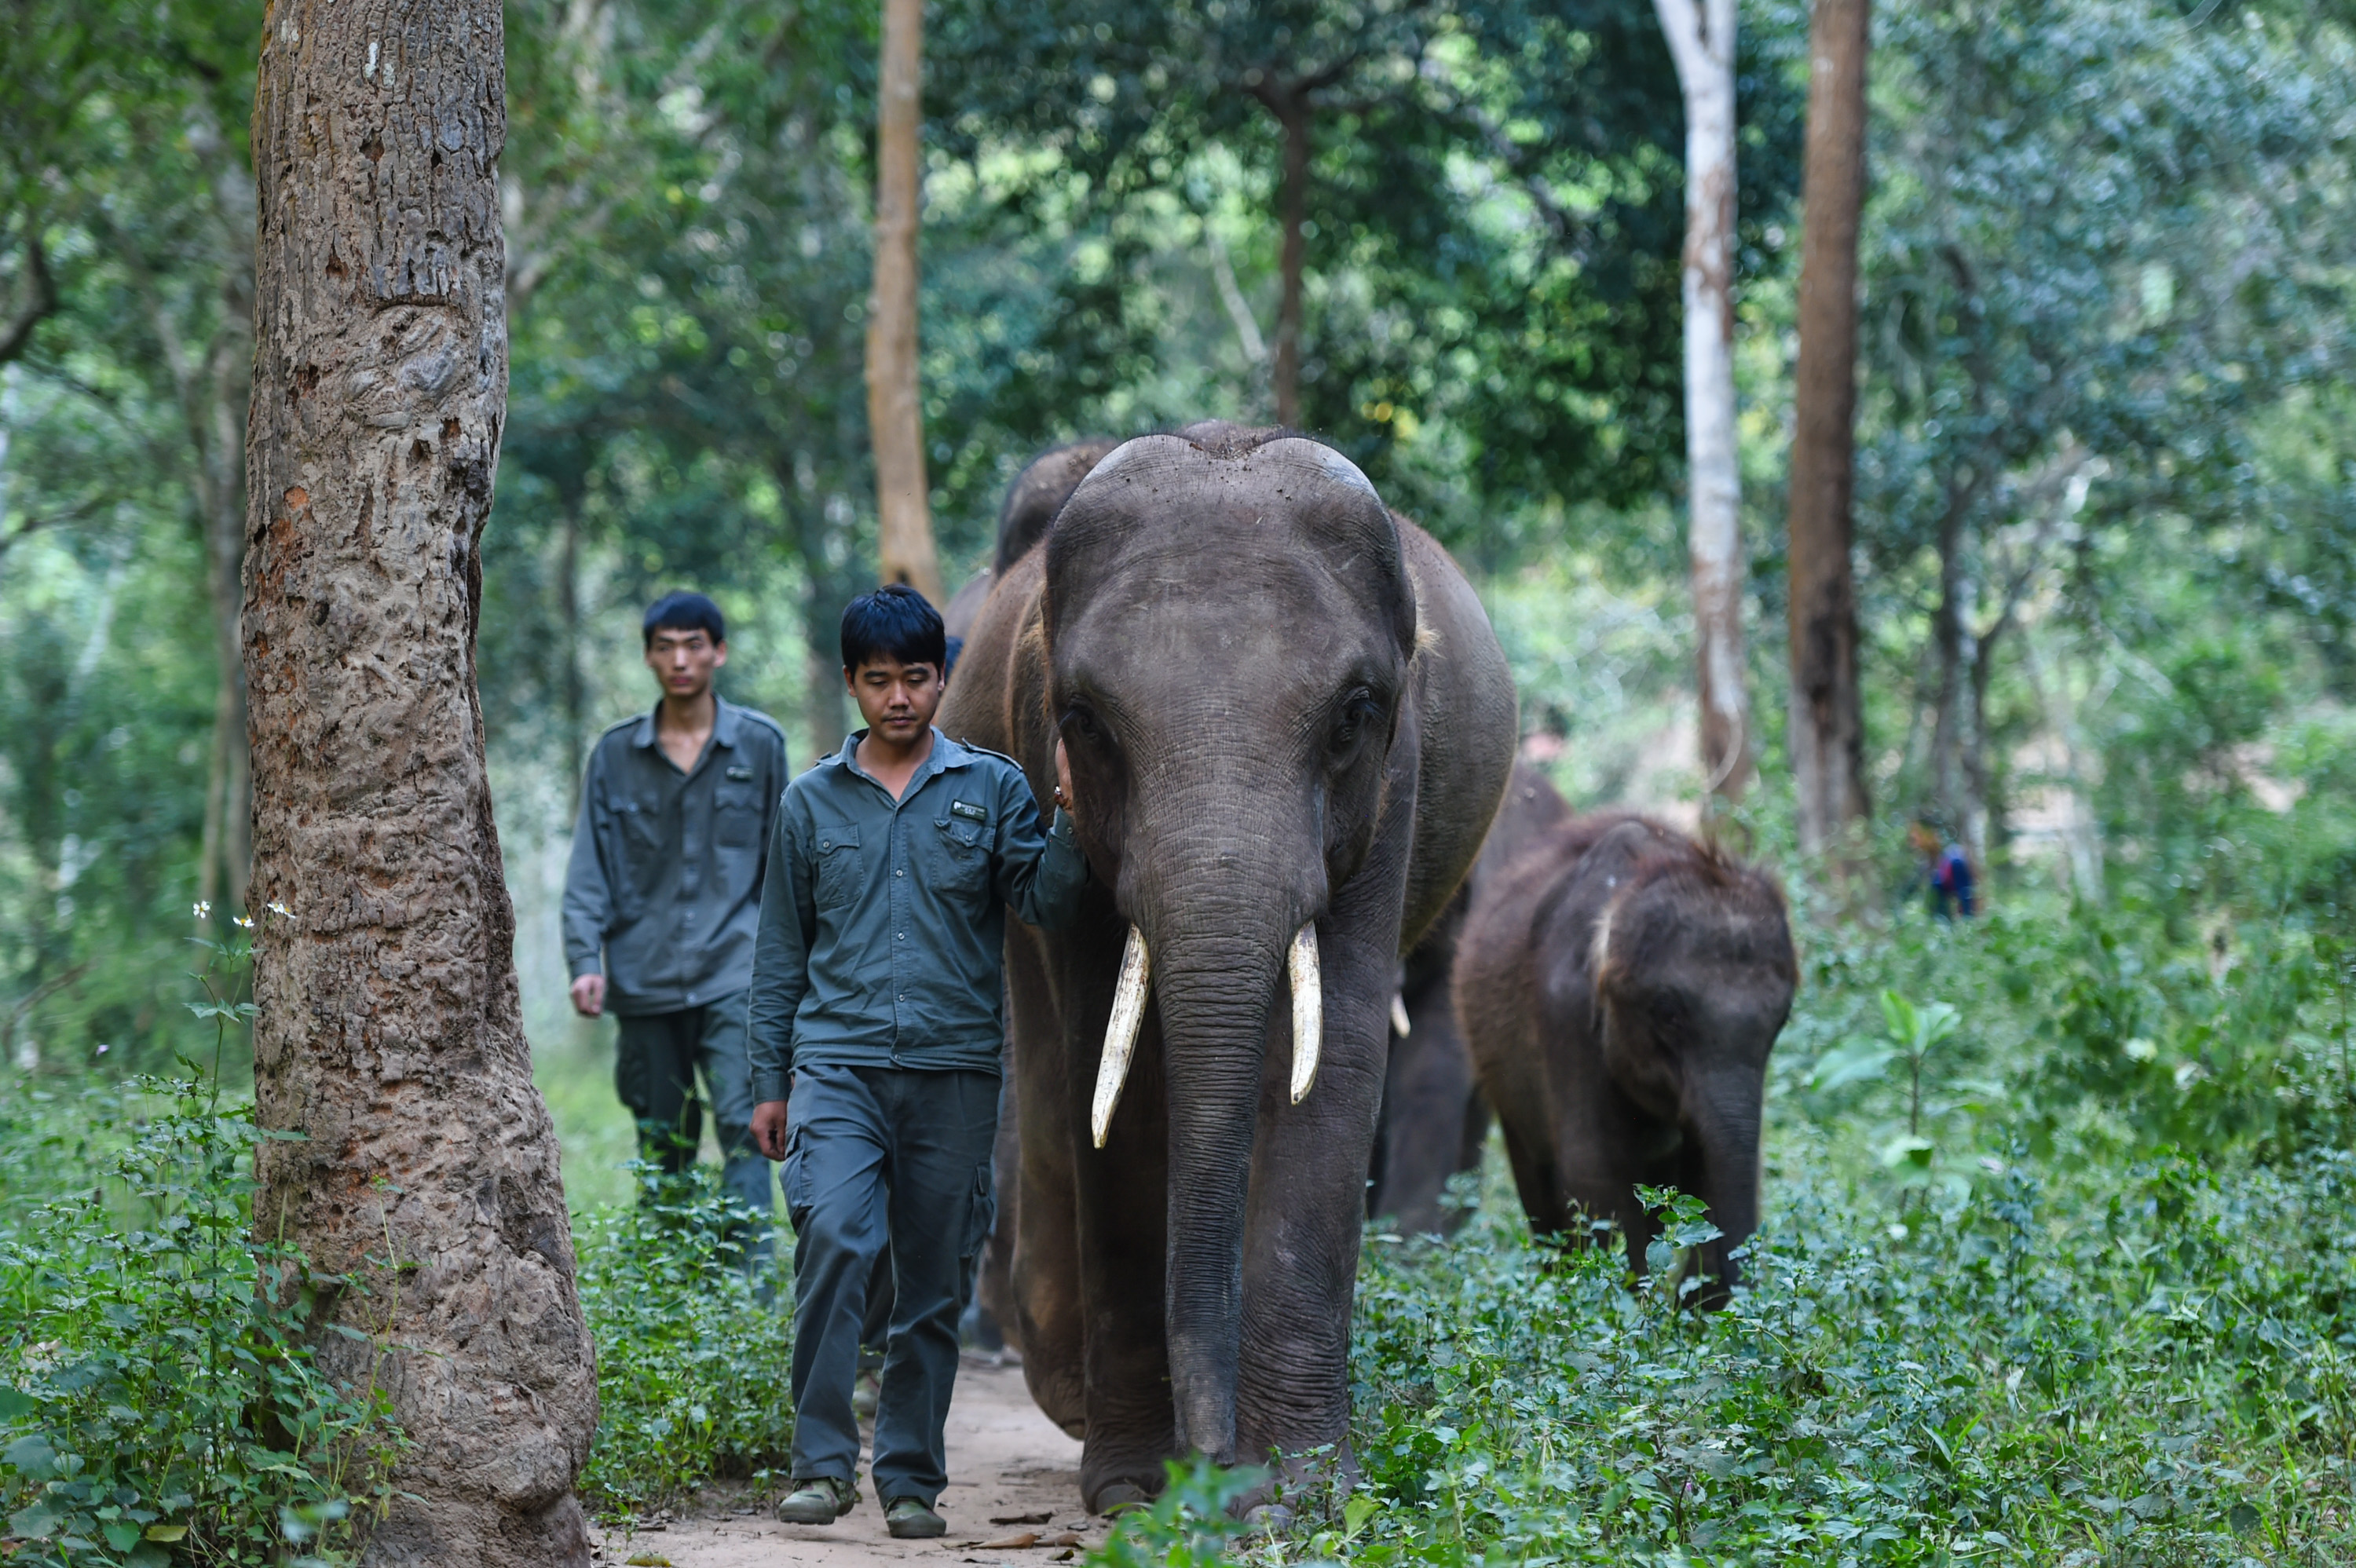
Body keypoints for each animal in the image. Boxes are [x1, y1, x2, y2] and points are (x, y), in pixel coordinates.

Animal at [942, 421, 1517, 1507]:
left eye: (1354, 714)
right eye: (1085, 720)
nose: (1207, 1460)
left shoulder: (1395, 784)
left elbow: (1331, 1066)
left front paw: (1295, 1492)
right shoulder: (1049, 778)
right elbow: (1112, 1081)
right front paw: (1134, 1487)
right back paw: (1065, 1388)